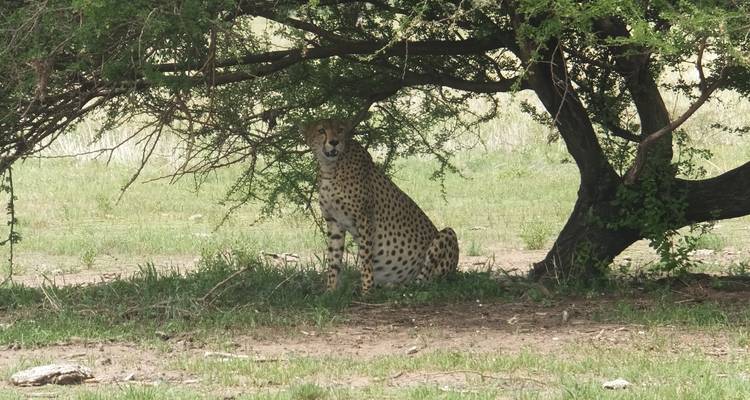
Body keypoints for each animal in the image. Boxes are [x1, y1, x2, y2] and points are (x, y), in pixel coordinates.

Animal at [303, 118, 459, 293]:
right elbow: (334, 258)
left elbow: (365, 257)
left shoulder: (364, 218)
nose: (334, 142)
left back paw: (399, 287)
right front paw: (330, 291)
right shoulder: (334, 221)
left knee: (425, 282)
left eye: (340, 129)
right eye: (321, 130)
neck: (330, 168)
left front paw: (367, 291)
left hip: (447, 235)